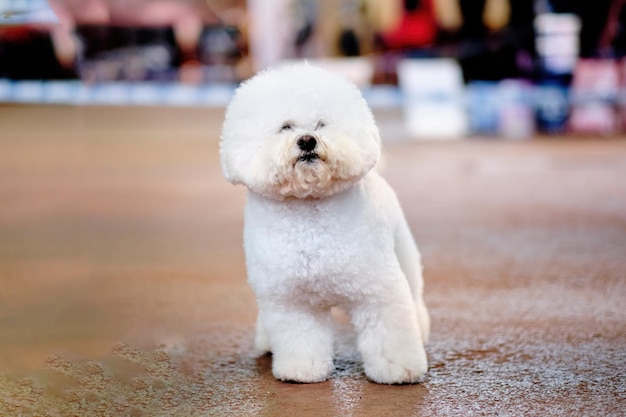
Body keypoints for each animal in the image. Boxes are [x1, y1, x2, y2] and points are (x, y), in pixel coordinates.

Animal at [219, 61, 428, 384]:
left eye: (320, 124)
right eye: (286, 127)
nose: (307, 141)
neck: (310, 208)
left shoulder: (377, 288)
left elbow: (390, 330)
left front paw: (399, 369)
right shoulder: (291, 300)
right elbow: (301, 338)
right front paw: (301, 370)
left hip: (404, 254)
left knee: (414, 298)